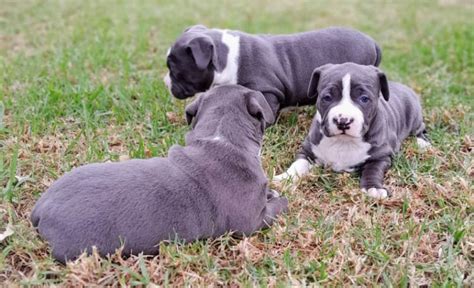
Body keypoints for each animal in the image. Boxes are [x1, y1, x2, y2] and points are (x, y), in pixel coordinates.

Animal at [31, 85, 288, 264]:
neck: (221, 137)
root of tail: (40, 210)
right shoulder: (252, 222)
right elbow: (278, 207)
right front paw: (280, 197)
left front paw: (272, 192)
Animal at [163, 24, 382, 116]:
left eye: (173, 68)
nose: (164, 81)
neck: (226, 55)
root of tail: (372, 41)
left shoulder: (267, 91)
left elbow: (265, 107)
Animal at [272, 62, 432, 198]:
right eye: (327, 97)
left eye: (364, 98)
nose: (343, 121)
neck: (344, 141)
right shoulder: (308, 150)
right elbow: (298, 164)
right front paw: (284, 178)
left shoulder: (381, 156)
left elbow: (373, 170)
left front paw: (373, 188)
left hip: (414, 116)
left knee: (420, 129)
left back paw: (422, 144)